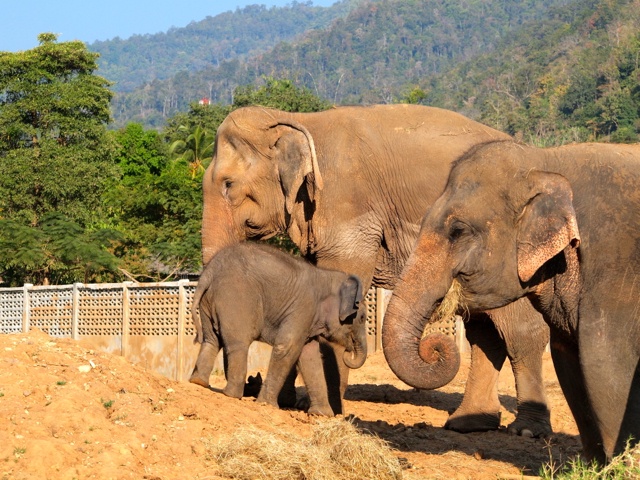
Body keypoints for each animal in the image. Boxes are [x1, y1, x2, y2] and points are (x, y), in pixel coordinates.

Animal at [190, 244, 368, 416]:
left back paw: (199, 382)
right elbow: (287, 347)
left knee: (211, 341)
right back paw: (231, 395)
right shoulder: (303, 308)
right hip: (234, 298)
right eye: (362, 317)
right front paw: (266, 404)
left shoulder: (307, 318)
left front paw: (322, 415)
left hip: (207, 302)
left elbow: (310, 356)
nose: (348, 351)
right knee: (238, 345)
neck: (327, 277)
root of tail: (209, 272)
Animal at [382, 141, 640, 464]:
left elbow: (606, 365)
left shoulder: (614, 272)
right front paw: (592, 465)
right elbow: (569, 363)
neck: (546, 161)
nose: (434, 348)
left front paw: (619, 465)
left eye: (458, 231)